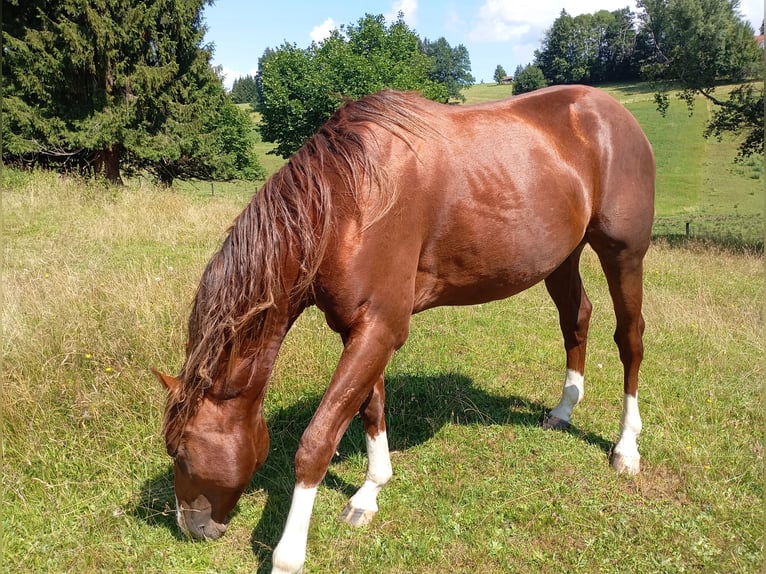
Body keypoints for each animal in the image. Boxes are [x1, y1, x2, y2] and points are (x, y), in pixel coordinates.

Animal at [154, 85, 654, 574]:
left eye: (180, 450)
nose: (190, 528)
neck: (348, 200)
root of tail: (613, 113)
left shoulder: (380, 328)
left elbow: (317, 441)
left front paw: (287, 556)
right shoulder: (360, 327)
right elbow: (370, 408)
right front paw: (370, 491)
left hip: (624, 254)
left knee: (629, 339)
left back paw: (626, 447)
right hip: (562, 257)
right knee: (576, 318)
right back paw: (564, 409)